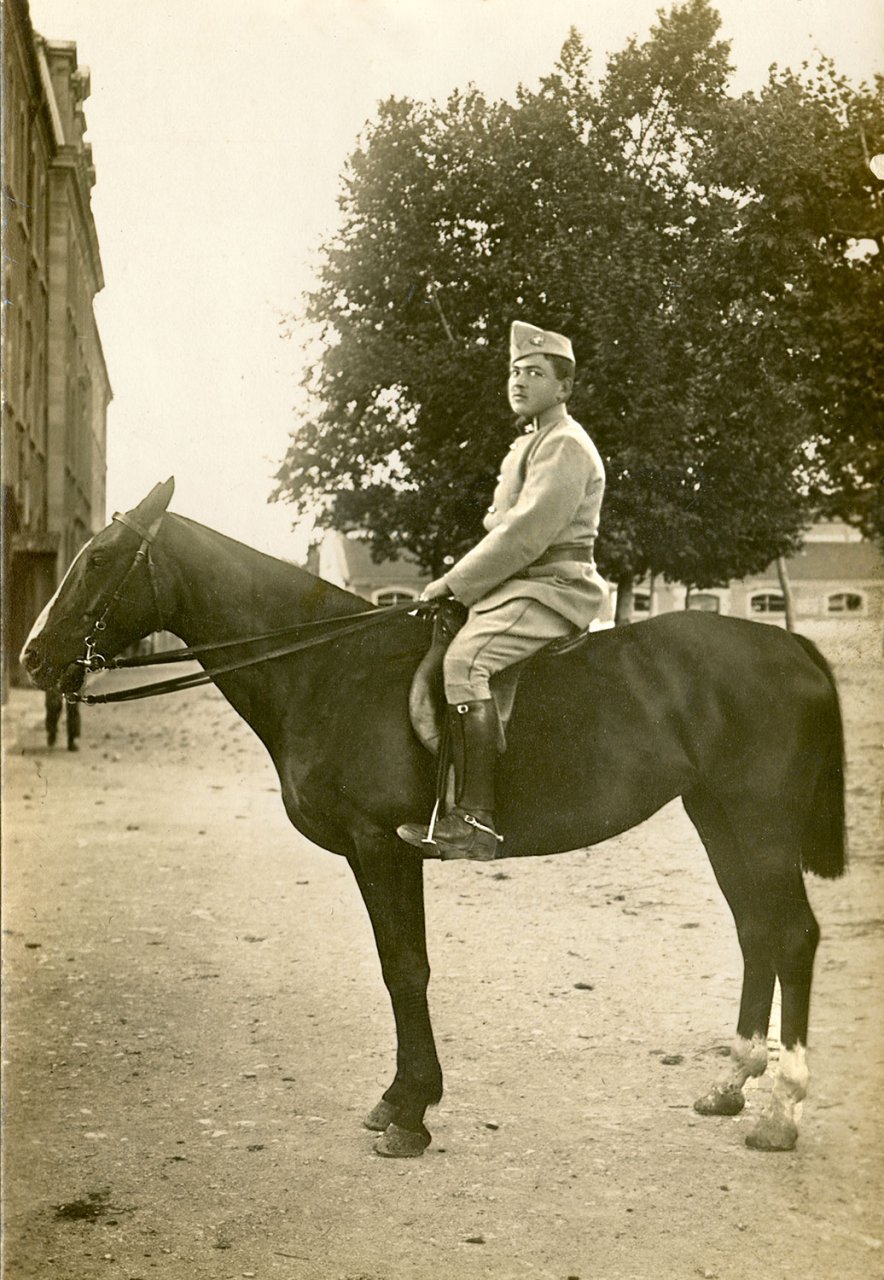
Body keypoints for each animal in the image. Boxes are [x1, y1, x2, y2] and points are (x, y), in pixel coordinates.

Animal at [20, 478, 846, 1157]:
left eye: (101, 558)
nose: (32, 656)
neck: (330, 667)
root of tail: (792, 644)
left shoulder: (382, 847)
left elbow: (404, 969)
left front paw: (411, 1112)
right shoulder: (372, 854)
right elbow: (399, 968)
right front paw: (400, 1100)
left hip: (758, 822)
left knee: (792, 936)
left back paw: (782, 1112)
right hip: (717, 816)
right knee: (756, 932)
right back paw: (732, 1086)